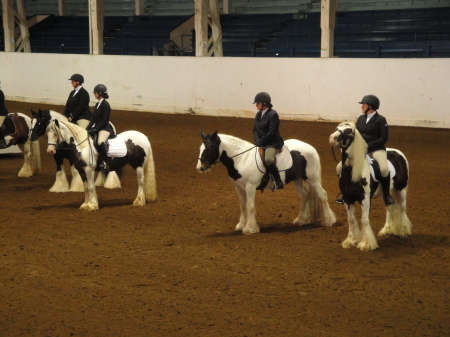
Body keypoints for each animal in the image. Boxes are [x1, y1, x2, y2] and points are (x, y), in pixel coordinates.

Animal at [197, 131, 334, 234]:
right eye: (200, 148)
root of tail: (311, 147)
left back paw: (329, 221)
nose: (200, 167)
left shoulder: (250, 186)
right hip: (297, 179)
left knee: (322, 195)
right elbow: (243, 206)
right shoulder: (239, 187)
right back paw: (300, 220)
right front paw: (241, 225)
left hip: (312, 179)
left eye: (210, 148)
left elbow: (250, 206)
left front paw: (250, 228)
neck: (241, 159)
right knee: (304, 195)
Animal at [326, 121, 412, 249]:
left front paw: (366, 244)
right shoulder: (347, 198)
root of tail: (398, 152)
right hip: (387, 192)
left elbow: (365, 219)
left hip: (401, 188)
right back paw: (386, 230)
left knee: (402, 208)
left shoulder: (365, 198)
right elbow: (350, 219)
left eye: (348, 130)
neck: (353, 171)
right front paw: (350, 241)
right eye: (337, 128)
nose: (332, 138)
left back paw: (403, 231)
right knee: (389, 208)